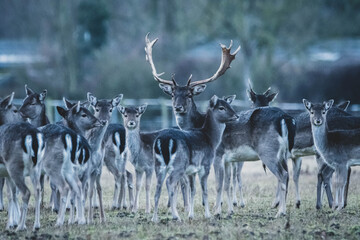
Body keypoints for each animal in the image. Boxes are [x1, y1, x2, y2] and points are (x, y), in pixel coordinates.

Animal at [0, 93, 45, 231]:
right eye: (15, 110)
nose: (25, 119)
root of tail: (33, 136)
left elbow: (10, 195)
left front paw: (12, 223)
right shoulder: (6, 173)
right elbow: (12, 194)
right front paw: (12, 222)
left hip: (14, 166)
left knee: (26, 192)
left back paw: (20, 227)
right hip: (36, 167)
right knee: (37, 190)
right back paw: (36, 225)